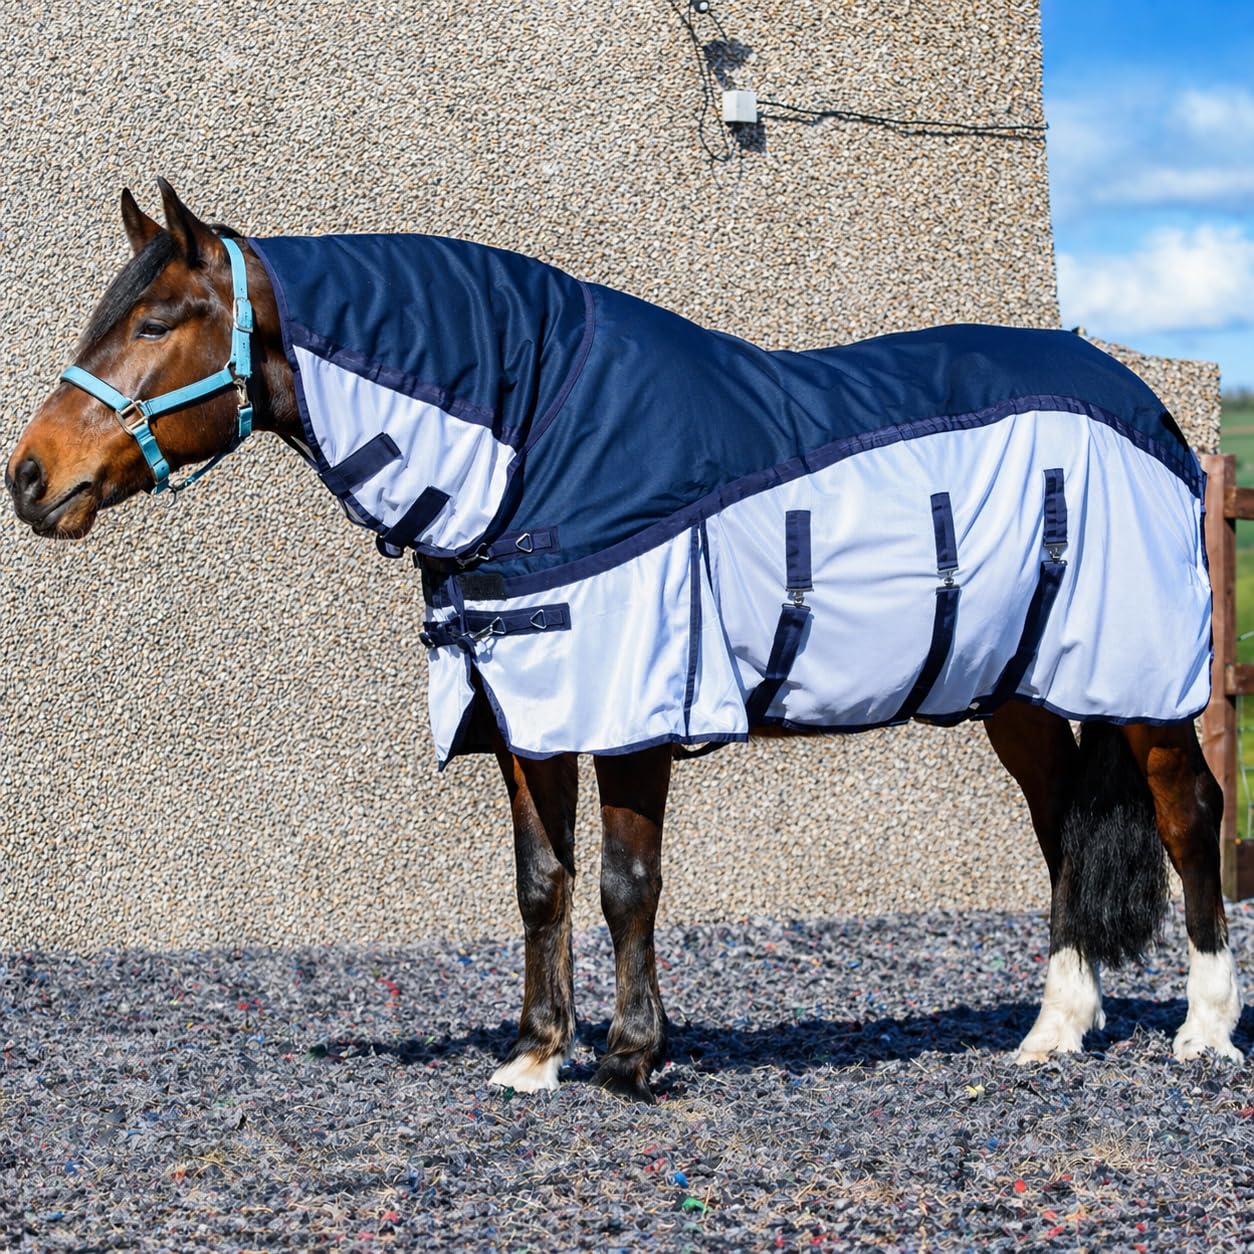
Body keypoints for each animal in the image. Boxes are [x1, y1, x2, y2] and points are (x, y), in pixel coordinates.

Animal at [6, 181, 1243, 1102]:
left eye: (156, 323)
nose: (30, 478)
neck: (542, 432)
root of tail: (1147, 405)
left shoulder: (639, 700)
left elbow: (624, 882)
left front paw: (633, 1057)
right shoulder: (525, 706)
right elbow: (540, 883)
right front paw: (535, 1055)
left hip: (1143, 687)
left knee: (1190, 815)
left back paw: (1205, 1029)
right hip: (1023, 694)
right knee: (1059, 828)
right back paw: (1055, 1029)